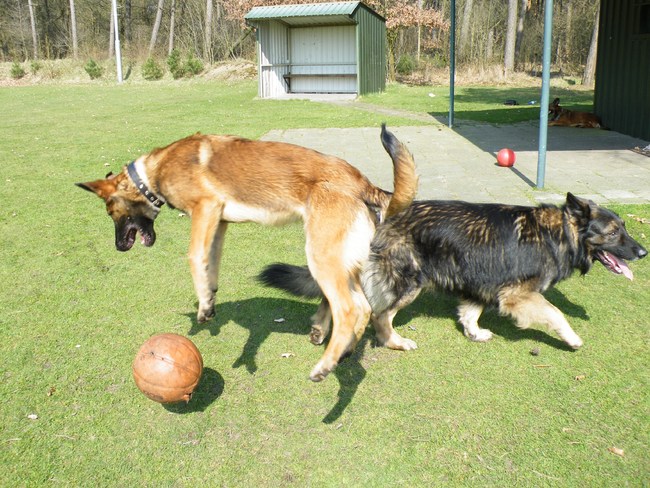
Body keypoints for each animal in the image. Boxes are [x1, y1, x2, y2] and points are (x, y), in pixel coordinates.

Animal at [76, 125, 417, 382]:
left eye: (111, 212)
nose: (118, 247)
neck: (153, 173)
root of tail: (363, 182)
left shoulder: (205, 209)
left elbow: (193, 257)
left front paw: (206, 308)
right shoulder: (218, 223)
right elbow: (210, 263)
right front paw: (208, 300)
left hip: (322, 255)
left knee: (352, 308)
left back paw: (326, 364)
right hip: (339, 259)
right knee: (358, 306)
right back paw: (336, 344)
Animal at [259, 193, 647, 350]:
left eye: (625, 228)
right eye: (614, 233)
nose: (643, 251)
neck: (559, 234)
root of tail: (381, 215)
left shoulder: (483, 283)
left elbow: (471, 312)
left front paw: (473, 332)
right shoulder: (518, 294)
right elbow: (555, 314)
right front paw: (572, 338)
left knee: (336, 297)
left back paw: (318, 330)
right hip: (408, 283)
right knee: (378, 315)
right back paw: (395, 342)